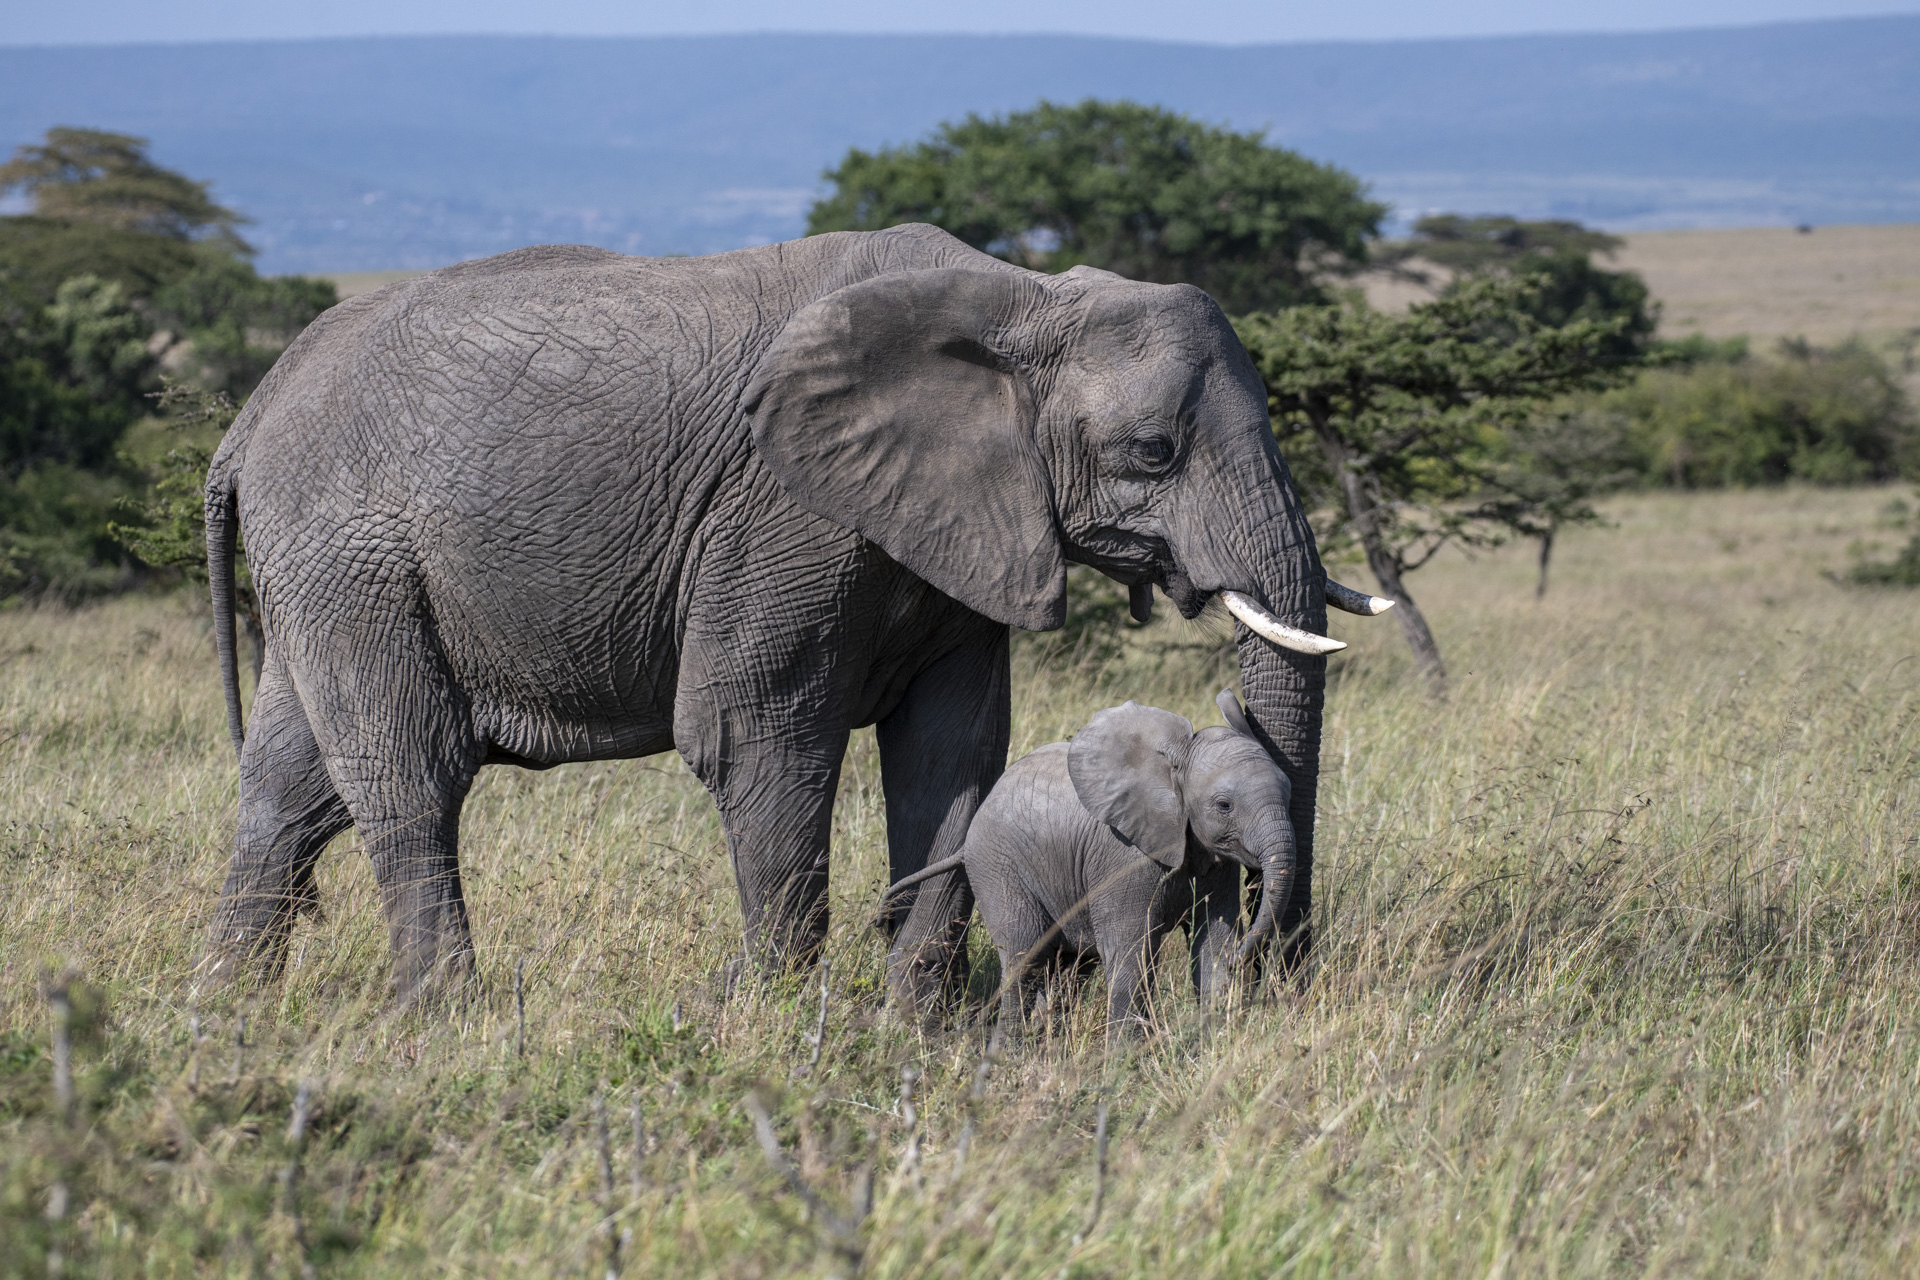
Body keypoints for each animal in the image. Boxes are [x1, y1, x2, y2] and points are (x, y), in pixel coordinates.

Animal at [881, 691, 1296, 1034]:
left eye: (1289, 792)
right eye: (1224, 806)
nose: (1245, 963)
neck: (1173, 768)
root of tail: (967, 840)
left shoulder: (1216, 862)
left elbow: (1213, 944)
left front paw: (1213, 1043)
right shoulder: (1123, 859)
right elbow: (1132, 954)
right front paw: (1126, 1065)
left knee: (1068, 967)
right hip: (996, 866)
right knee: (1024, 957)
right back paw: (1010, 1054)